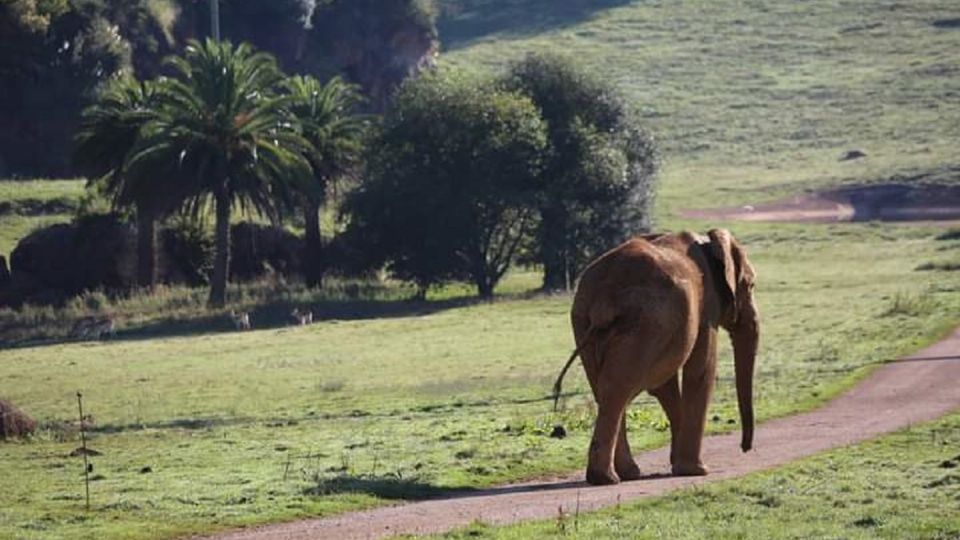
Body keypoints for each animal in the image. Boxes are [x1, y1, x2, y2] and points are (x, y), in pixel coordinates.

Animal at [556, 228, 756, 486]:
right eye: (750, 285)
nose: (745, 448)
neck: (708, 241)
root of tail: (605, 297)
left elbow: (665, 385)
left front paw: (678, 463)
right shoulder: (706, 309)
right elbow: (701, 372)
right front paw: (697, 471)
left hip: (586, 320)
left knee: (606, 387)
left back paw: (624, 474)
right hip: (647, 321)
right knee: (618, 388)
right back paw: (607, 478)